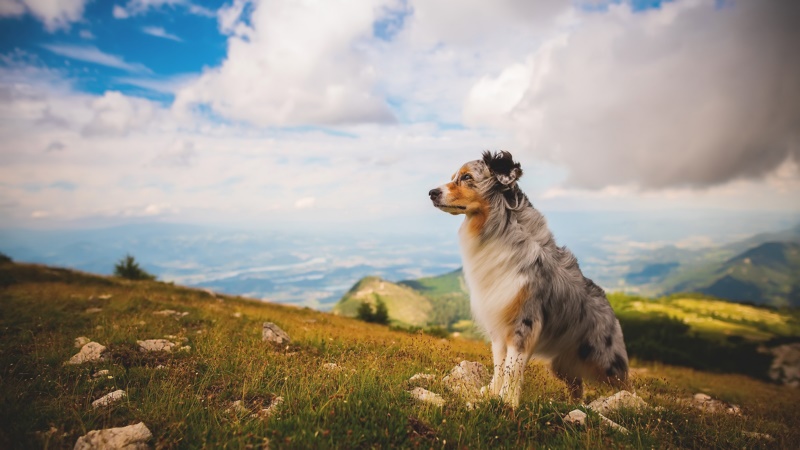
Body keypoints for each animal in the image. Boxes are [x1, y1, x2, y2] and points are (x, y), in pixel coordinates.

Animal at [428, 151, 628, 408]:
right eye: (454, 176)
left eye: (466, 177)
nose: (431, 192)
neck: (501, 228)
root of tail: (608, 302)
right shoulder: (498, 324)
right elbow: (500, 365)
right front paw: (492, 394)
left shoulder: (523, 323)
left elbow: (512, 368)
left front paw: (506, 402)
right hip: (562, 365)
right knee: (577, 385)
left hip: (605, 360)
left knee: (624, 385)